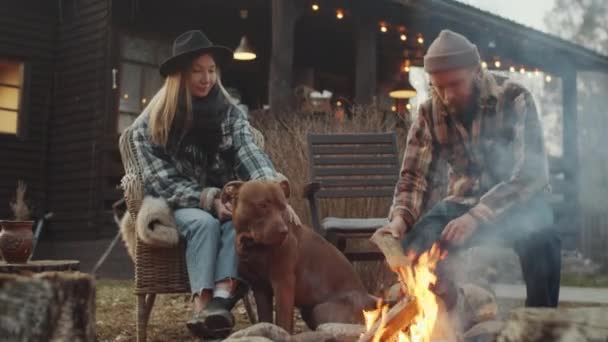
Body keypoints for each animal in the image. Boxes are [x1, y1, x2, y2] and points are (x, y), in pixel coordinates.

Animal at [221, 180, 378, 332]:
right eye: (262, 205)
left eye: (283, 207)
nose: (283, 231)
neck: (254, 246)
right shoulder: (260, 288)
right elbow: (265, 319)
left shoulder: (283, 283)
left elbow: (283, 321)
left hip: (320, 310)